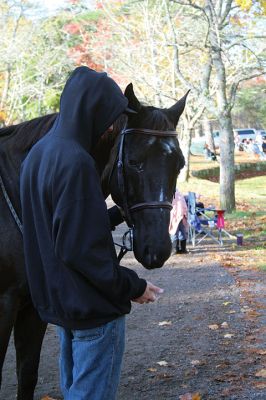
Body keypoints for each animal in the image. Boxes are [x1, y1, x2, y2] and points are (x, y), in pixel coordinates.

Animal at [0, 83, 187, 398]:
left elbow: (27, 374)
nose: (158, 249)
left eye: (180, 165)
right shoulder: (4, 305)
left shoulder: (32, 306)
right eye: (134, 162)